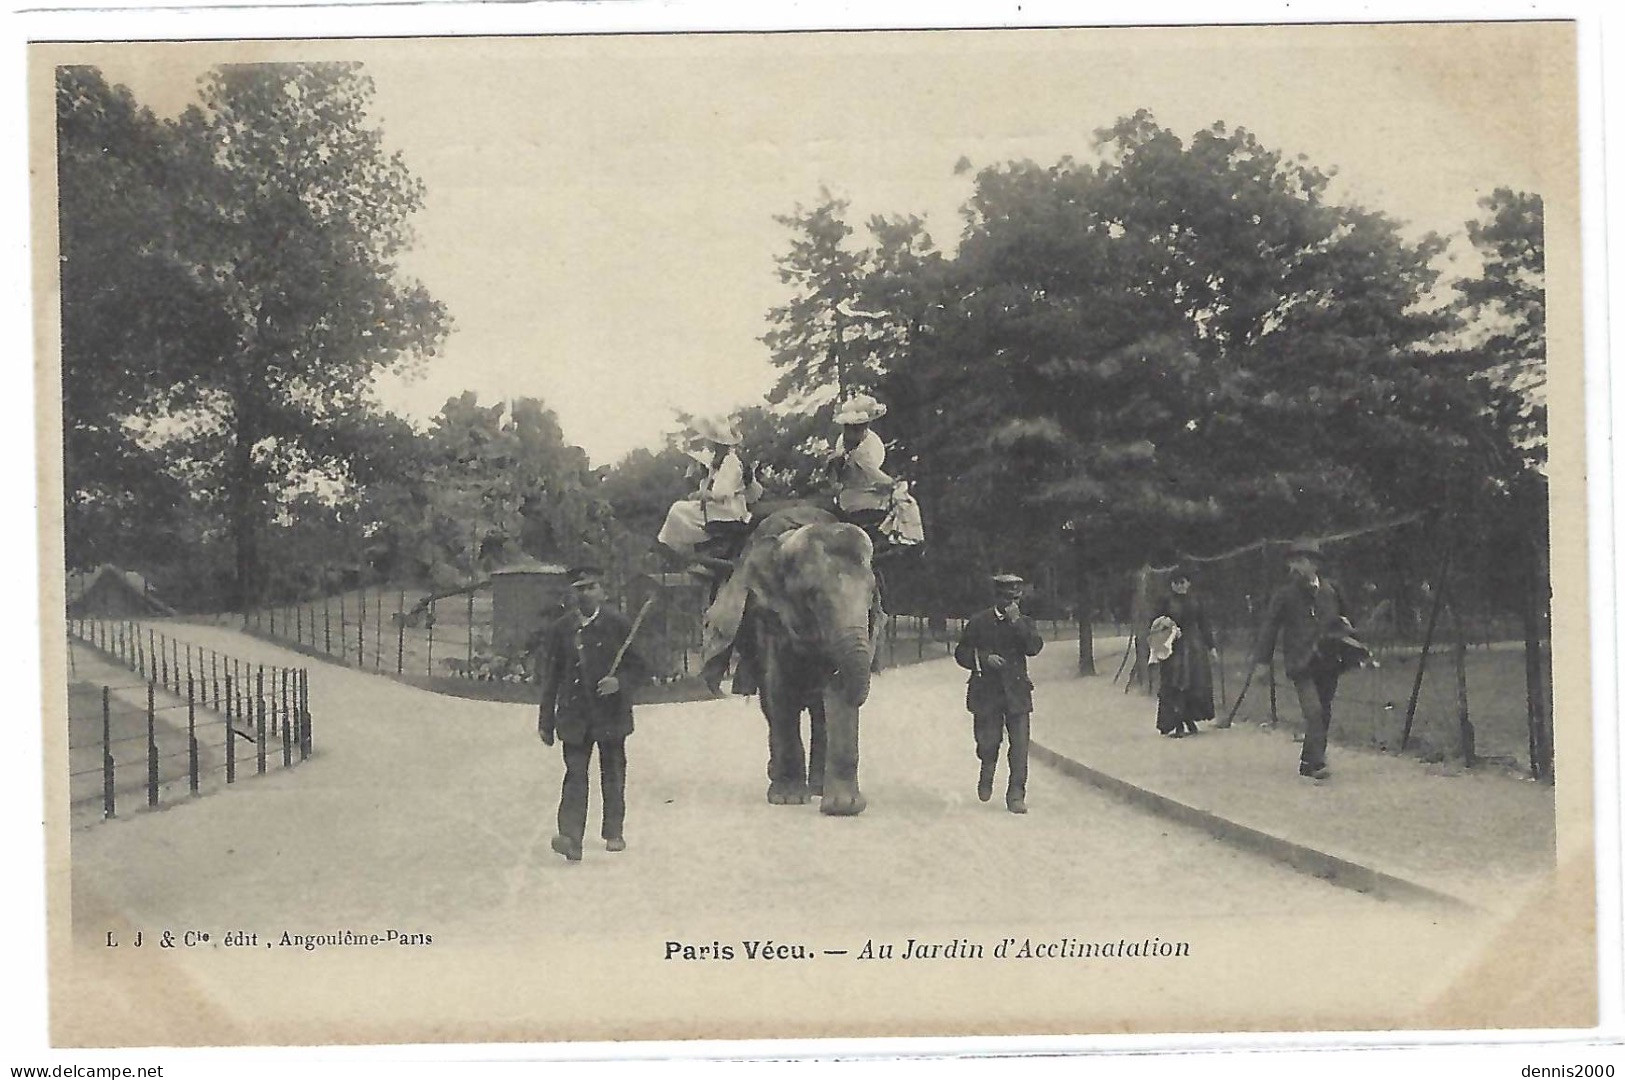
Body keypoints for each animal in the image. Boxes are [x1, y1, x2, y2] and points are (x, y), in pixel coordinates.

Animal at [702, 503, 877, 808]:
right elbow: (779, 690)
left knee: (818, 711)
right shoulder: (767, 615)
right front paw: (788, 798)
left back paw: (817, 787)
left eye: (871, 594)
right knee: (770, 704)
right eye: (813, 595)